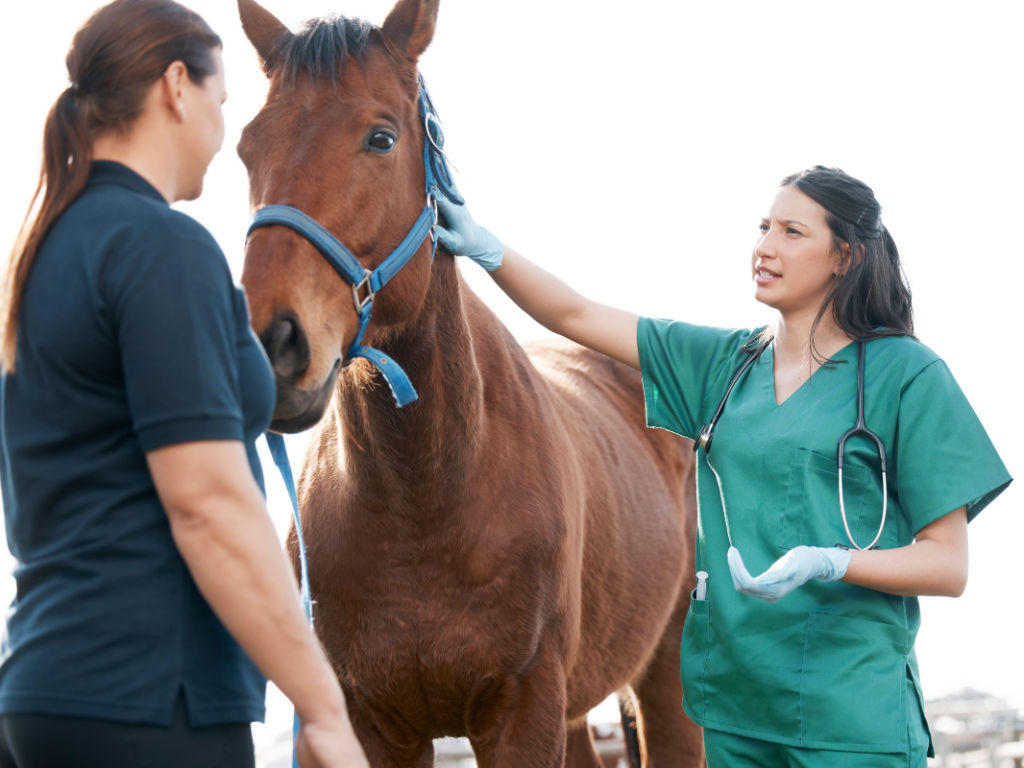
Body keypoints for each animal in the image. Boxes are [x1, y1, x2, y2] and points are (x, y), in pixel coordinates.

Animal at [236, 1, 704, 765]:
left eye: (381, 138)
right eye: (248, 147)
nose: (270, 342)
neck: (425, 496)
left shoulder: (521, 713)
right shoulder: (370, 723)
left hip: (665, 681)